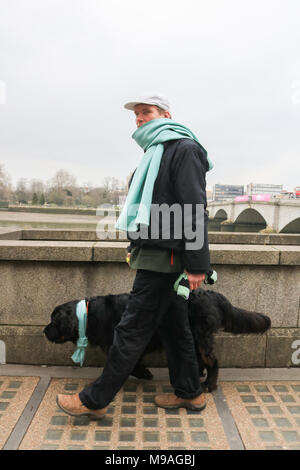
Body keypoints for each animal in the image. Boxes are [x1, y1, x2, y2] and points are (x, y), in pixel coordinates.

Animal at [44, 290, 272, 392]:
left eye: (53, 322)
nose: (44, 331)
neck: (88, 315)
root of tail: (214, 295)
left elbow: (129, 364)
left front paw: (144, 373)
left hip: (200, 336)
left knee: (213, 361)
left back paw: (209, 384)